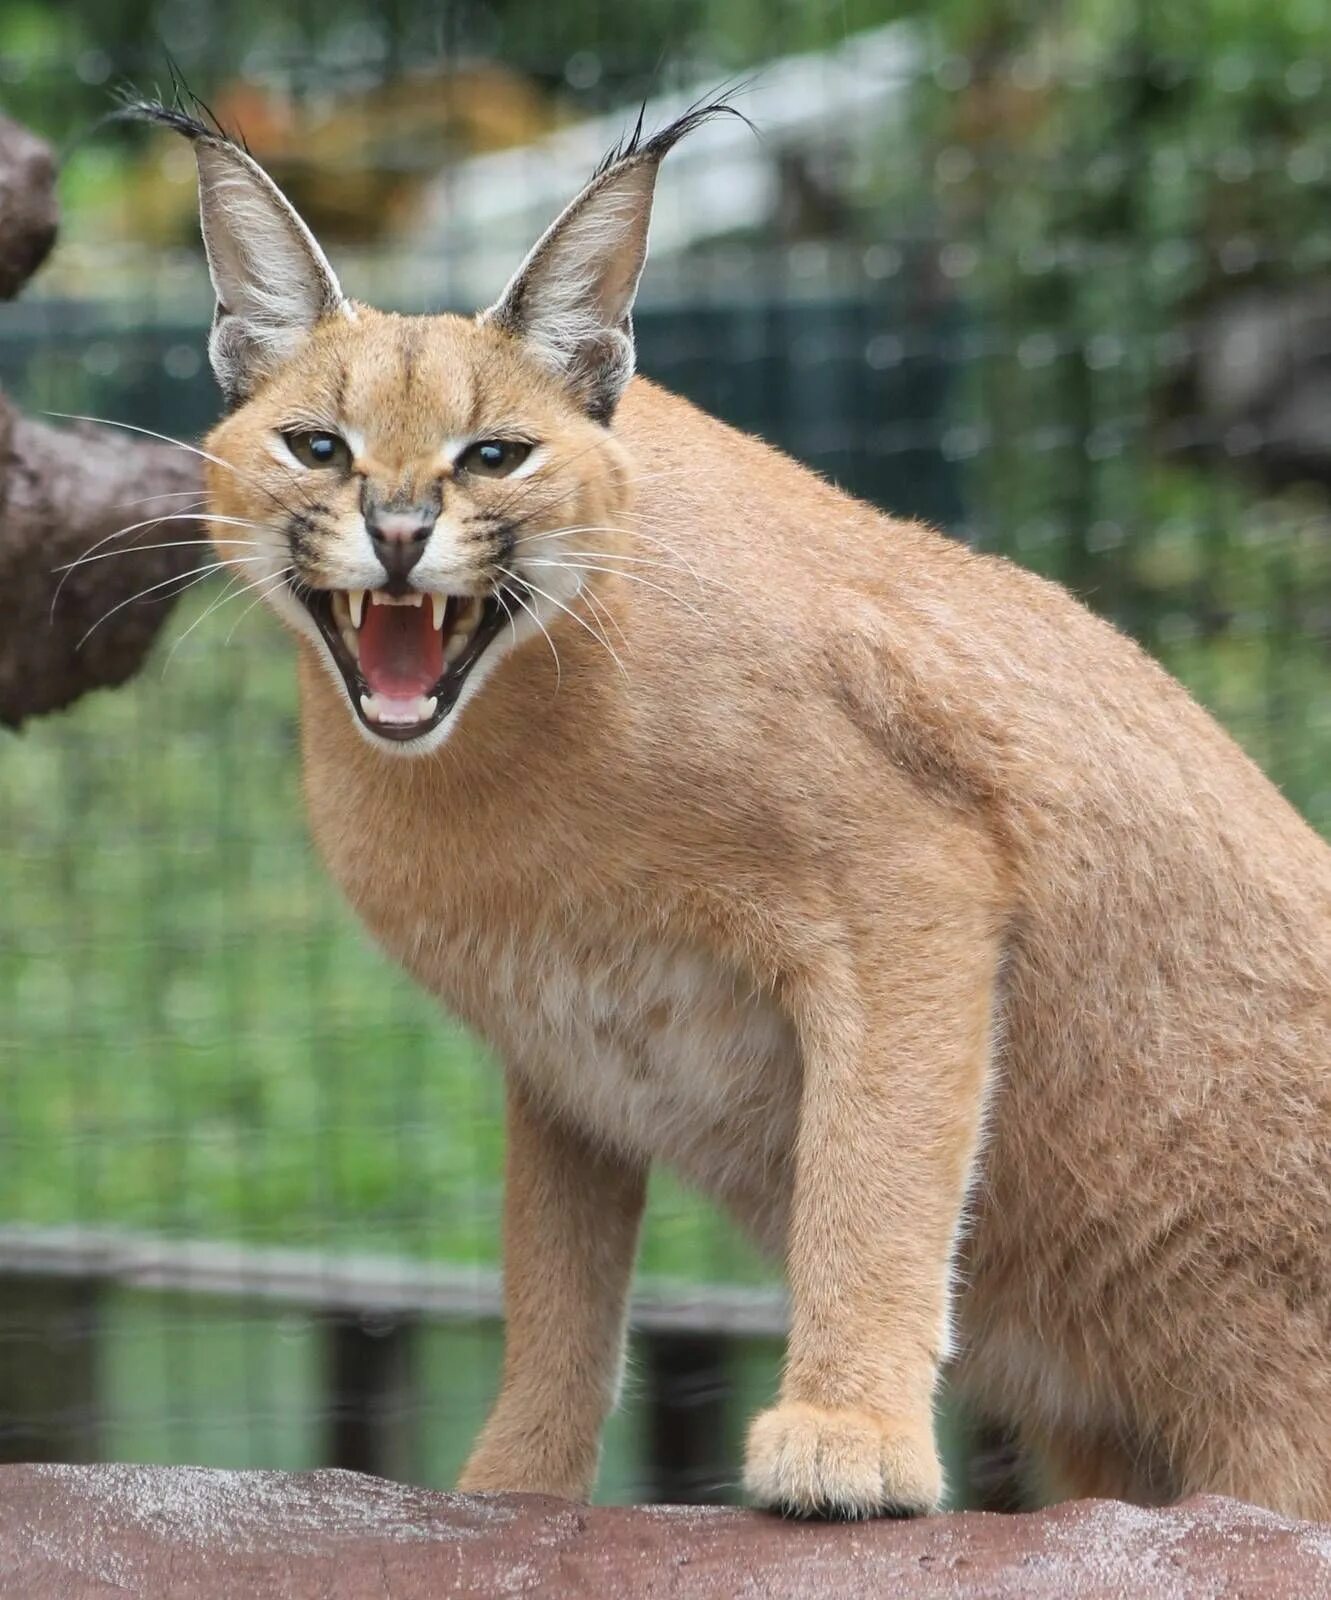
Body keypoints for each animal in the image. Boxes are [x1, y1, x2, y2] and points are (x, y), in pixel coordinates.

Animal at [132, 93, 1331, 1516]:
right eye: (318, 445)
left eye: (495, 455)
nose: (404, 532)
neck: (494, 760)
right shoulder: (564, 1048)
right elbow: (553, 1280)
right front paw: (513, 1485)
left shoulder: (909, 884)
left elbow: (873, 1170)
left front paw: (847, 1432)